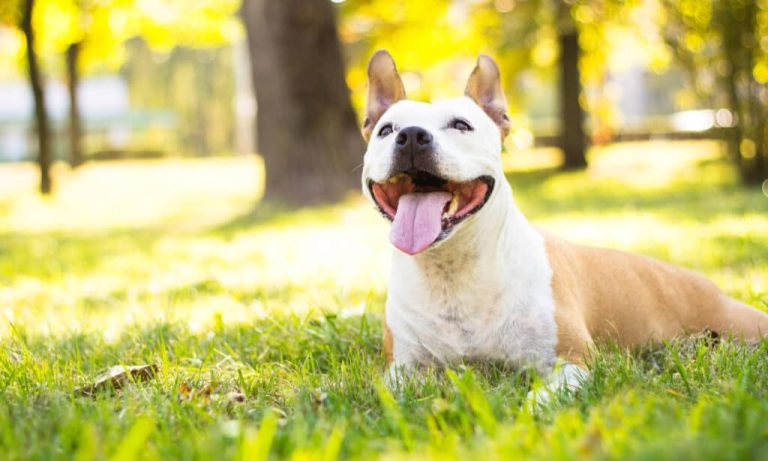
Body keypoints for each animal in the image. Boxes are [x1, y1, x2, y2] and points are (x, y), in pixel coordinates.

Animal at [360, 49, 768, 396]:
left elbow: (541, 397)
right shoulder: (403, 368)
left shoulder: (573, 362)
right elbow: (391, 391)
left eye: (461, 125)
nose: (411, 136)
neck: (452, 270)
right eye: (385, 130)